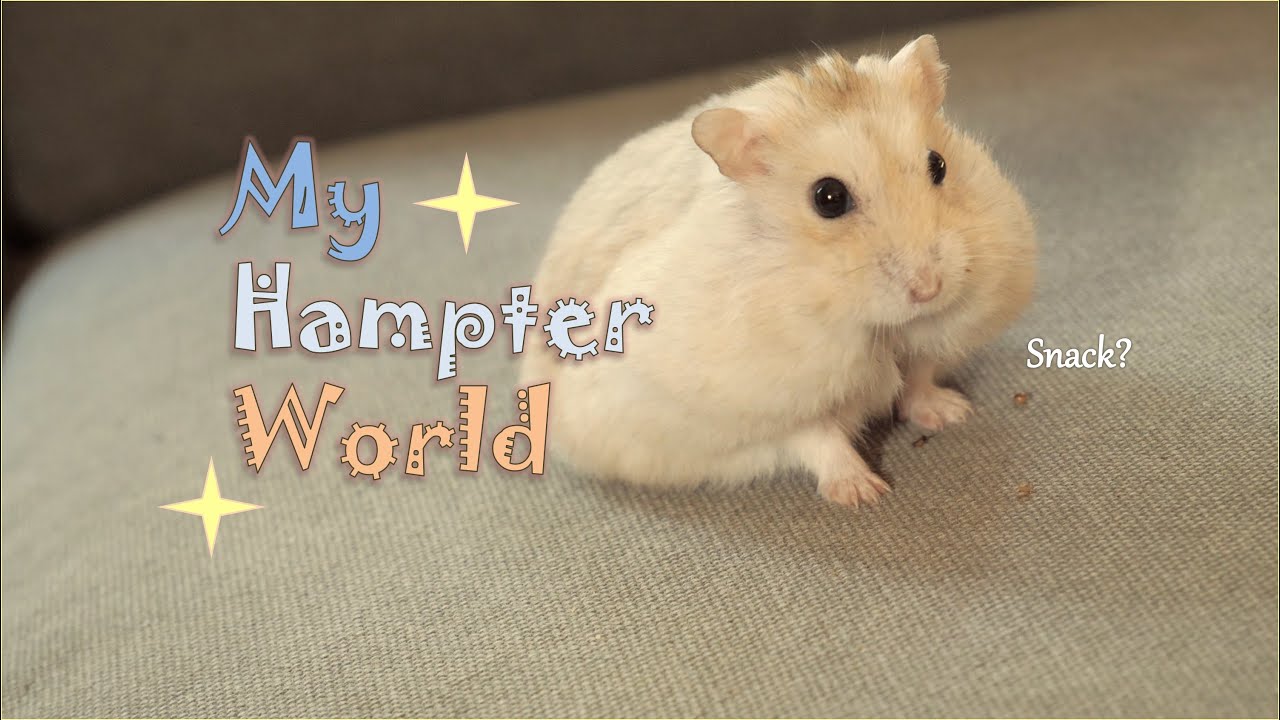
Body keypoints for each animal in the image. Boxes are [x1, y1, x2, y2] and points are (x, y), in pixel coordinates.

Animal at [521, 36, 1036, 506]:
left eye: (939, 164)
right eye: (828, 197)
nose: (929, 290)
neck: (875, 326)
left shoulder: (926, 346)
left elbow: (919, 377)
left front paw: (954, 412)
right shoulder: (773, 402)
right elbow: (818, 440)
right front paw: (865, 494)